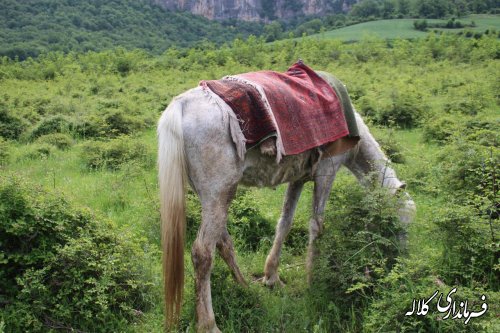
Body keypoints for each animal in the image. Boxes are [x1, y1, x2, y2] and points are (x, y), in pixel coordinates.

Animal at [158, 71, 416, 330]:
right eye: (399, 224)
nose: (402, 264)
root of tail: (181, 105)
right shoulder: (327, 169)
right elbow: (317, 226)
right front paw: (312, 280)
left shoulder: (298, 178)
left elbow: (285, 223)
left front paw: (271, 277)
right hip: (219, 193)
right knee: (202, 253)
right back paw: (209, 324)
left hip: (213, 196)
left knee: (222, 242)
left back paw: (244, 286)